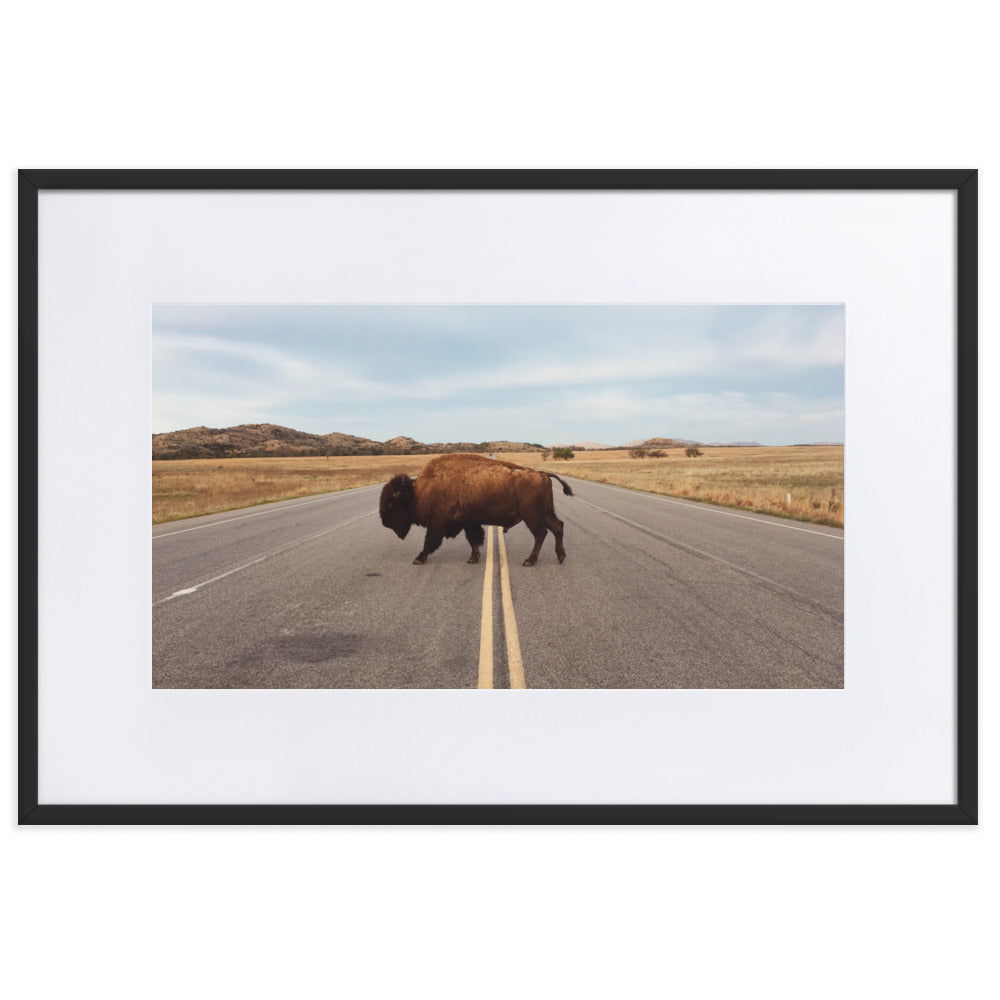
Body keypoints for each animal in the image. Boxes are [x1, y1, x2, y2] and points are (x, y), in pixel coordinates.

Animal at [379, 453, 573, 566]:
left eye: (389, 502)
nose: (384, 522)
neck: (418, 491)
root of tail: (542, 473)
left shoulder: (436, 525)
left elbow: (429, 543)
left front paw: (419, 558)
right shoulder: (468, 522)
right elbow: (473, 540)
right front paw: (473, 558)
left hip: (533, 517)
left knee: (541, 534)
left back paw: (529, 560)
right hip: (545, 513)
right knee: (558, 527)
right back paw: (560, 556)